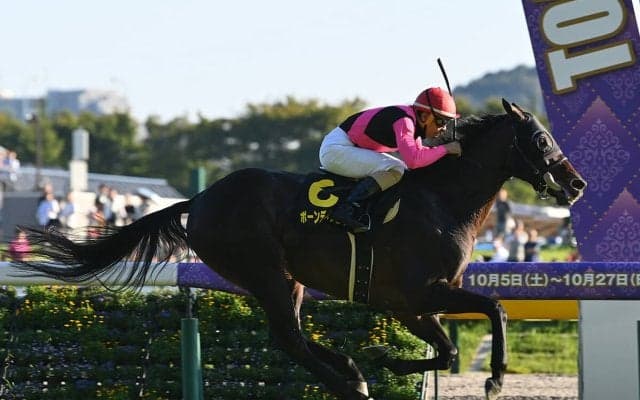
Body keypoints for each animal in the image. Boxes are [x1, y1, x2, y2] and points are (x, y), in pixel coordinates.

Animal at [15, 99, 586, 400]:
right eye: (540, 140)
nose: (576, 184)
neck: (441, 199)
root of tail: (198, 199)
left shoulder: (407, 303)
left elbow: (446, 351)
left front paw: (388, 359)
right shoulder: (423, 291)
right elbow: (494, 309)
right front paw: (494, 377)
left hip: (282, 279)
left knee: (288, 338)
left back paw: (352, 371)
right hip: (266, 272)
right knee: (288, 339)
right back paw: (350, 382)